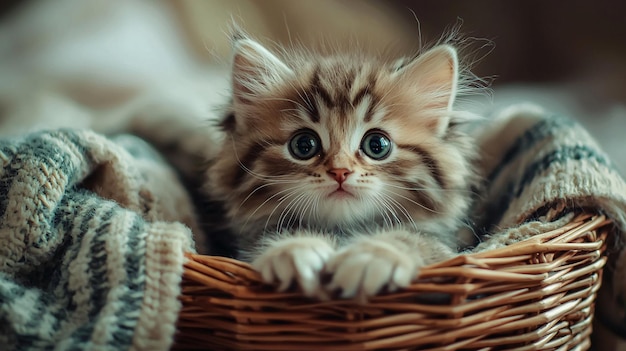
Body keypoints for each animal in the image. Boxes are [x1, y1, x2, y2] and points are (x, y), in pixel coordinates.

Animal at [206, 33, 478, 302]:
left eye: (377, 145)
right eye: (303, 145)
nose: (340, 171)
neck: (341, 230)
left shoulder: (443, 249)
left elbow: (415, 240)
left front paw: (374, 255)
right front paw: (294, 248)